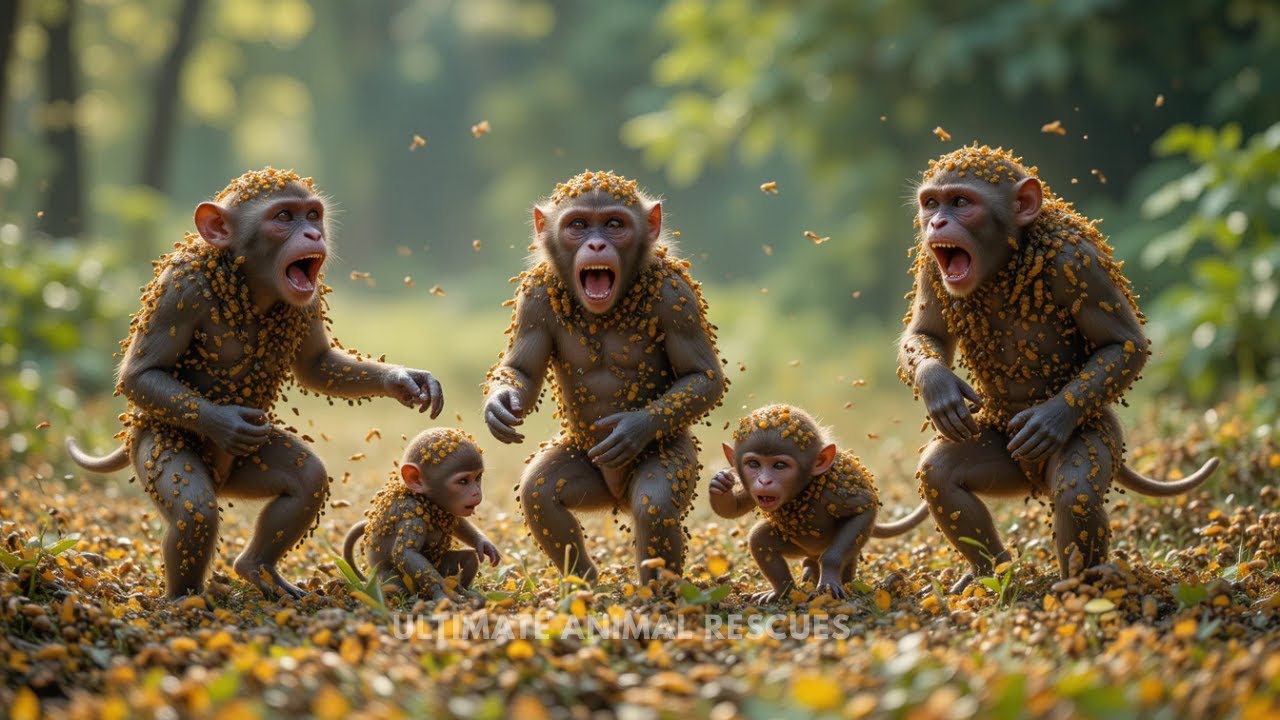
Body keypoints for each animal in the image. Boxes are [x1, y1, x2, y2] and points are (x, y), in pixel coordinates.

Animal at [65, 167, 446, 600]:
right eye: (283, 217)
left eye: (312, 215)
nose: (313, 234)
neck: (249, 283)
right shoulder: (180, 288)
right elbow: (140, 374)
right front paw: (225, 422)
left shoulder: (308, 298)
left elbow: (317, 365)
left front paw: (404, 380)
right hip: (156, 440)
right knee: (194, 508)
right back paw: (184, 600)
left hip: (246, 470)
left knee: (306, 479)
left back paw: (256, 568)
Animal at [341, 428, 499, 602]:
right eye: (463, 481)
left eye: (478, 478)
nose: (476, 493)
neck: (426, 501)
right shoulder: (410, 512)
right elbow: (406, 553)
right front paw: (442, 589)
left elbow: (459, 524)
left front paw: (484, 544)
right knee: (395, 586)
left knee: (470, 559)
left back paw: (464, 591)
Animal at [483, 170, 727, 585]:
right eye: (578, 225)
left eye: (614, 225)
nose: (596, 244)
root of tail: (616, 498)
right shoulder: (534, 297)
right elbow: (523, 371)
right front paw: (500, 404)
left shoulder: (675, 295)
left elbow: (703, 375)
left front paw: (632, 428)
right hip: (586, 472)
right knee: (540, 492)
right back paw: (584, 582)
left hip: (670, 453)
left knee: (655, 503)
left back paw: (657, 593)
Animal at [708, 404, 929, 603]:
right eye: (754, 464)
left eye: (780, 466)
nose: (764, 481)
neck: (801, 492)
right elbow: (734, 509)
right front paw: (720, 486)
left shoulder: (832, 494)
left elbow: (863, 510)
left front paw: (829, 579)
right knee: (760, 539)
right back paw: (784, 590)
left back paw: (839, 580)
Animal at [896, 145, 1220, 593]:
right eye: (931, 204)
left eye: (960, 202)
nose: (937, 222)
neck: (1005, 263)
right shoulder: (933, 264)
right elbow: (926, 333)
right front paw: (938, 386)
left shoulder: (1078, 261)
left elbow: (1124, 345)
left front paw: (1050, 417)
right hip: (1000, 446)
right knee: (940, 474)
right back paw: (990, 572)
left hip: (1097, 430)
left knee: (1074, 488)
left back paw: (1079, 587)